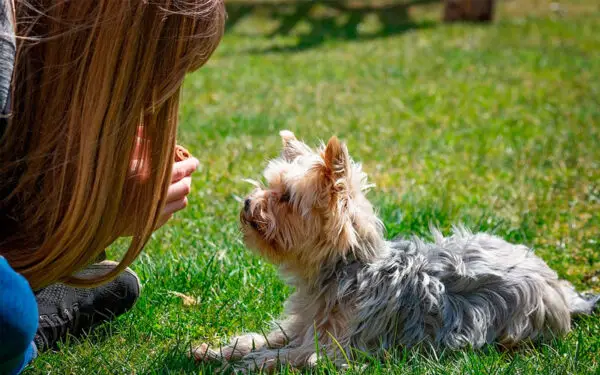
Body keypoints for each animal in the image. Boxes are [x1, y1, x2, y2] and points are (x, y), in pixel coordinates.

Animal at [195, 131, 596, 372]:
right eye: (268, 186)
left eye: (285, 198)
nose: (248, 203)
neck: (344, 270)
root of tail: (561, 290)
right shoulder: (302, 325)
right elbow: (266, 338)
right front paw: (216, 350)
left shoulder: (337, 349)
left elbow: (291, 354)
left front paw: (248, 362)